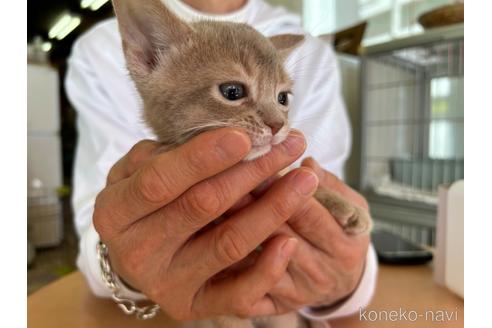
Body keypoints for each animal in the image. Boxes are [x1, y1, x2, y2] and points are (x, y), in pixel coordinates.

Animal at [112, 0, 372, 328]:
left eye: (283, 98)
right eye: (232, 92)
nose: (277, 125)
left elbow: (293, 175)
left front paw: (345, 205)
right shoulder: (221, 310)